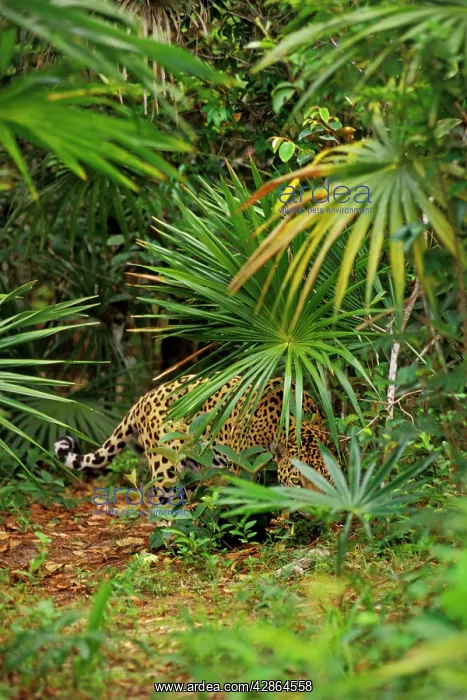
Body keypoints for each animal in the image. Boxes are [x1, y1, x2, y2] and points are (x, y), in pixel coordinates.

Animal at [54, 375, 329, 490]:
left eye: (327, 479)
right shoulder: (243, 466)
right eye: (298, 481)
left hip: (192, 465)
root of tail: (144, 397)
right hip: (165, 464)